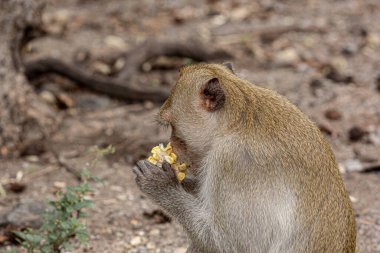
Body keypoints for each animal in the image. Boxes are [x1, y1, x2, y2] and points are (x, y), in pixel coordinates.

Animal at [133, 62, 356, 253]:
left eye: (172, 126)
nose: (173, 147)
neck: (235, 123)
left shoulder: (235, 161)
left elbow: (235, 245)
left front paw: (160, 184)